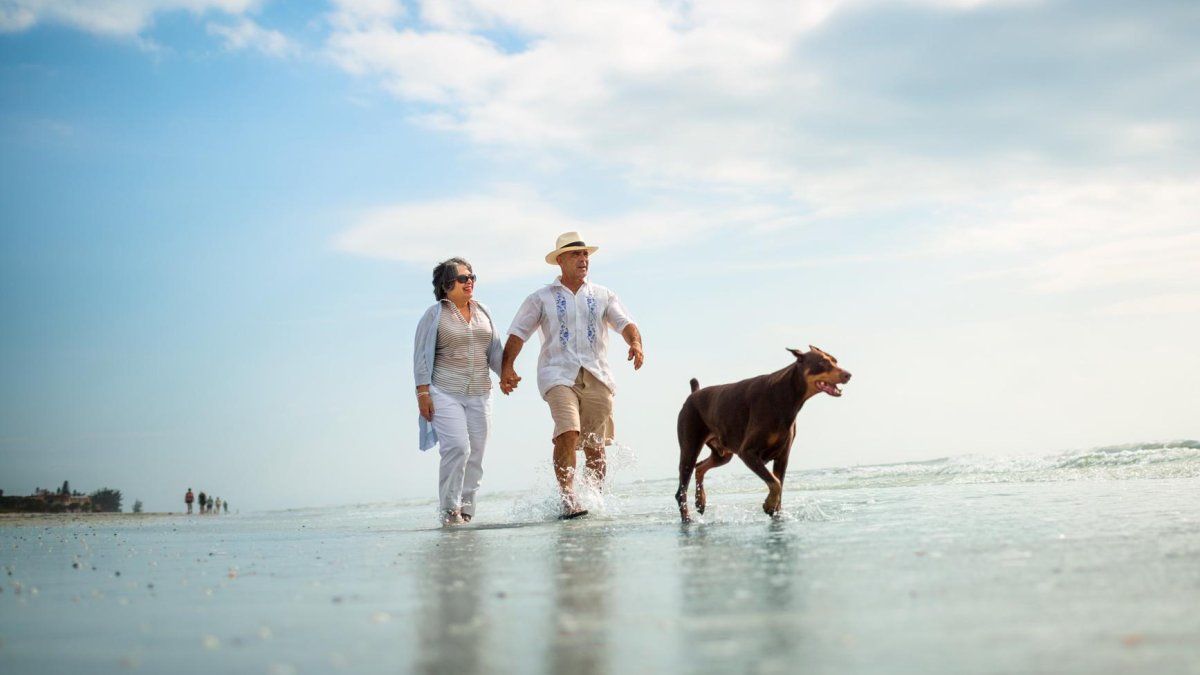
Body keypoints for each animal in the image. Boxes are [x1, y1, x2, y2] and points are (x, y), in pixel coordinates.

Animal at [676, 343, 854, 523]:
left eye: (835, 360)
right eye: (822, 362)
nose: (848, 374)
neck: (785, 396)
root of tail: (694, 393)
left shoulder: (782, 457)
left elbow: (779, 485)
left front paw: (776, 512)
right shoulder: (748, 452)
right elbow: (775, 483)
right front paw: (769, 505)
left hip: (723, 453)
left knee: (700, 467)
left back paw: (700, 501)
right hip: (690, 448)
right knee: (682, 489)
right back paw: (687, 518)